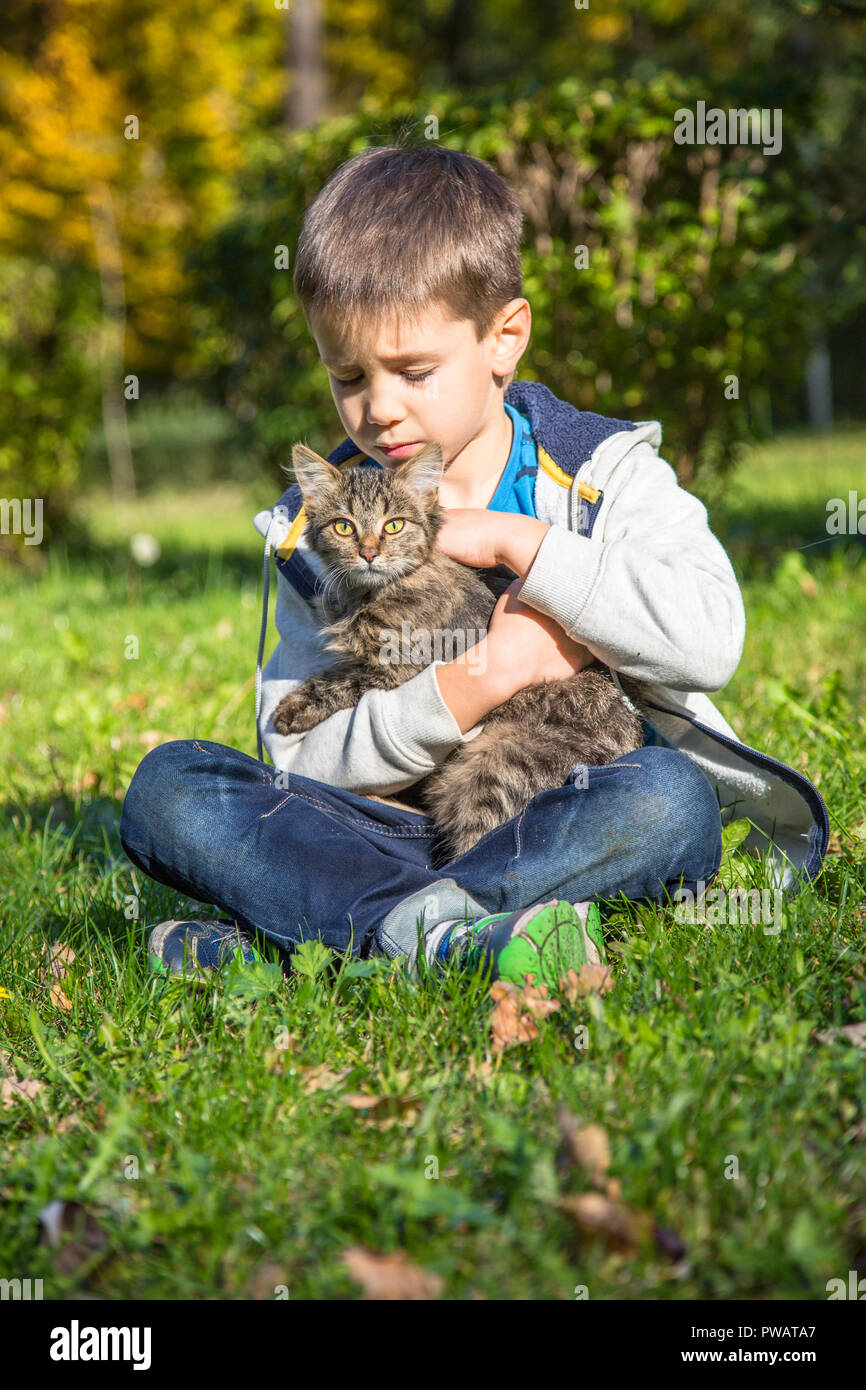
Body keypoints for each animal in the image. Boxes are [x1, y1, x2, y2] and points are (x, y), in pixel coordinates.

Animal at [273, 442, 647, 856]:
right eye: (344, 526)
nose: (369, 553)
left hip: (492, 764)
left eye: (393, 525)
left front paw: (293, 708)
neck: (372, 591)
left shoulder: (401, 668)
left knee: (478, 846)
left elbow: (339, 681)